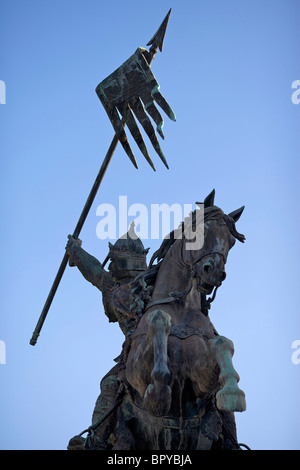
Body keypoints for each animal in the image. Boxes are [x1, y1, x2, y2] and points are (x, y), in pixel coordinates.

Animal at [106, 191, 247, 452]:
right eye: (199, 231)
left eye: (231, 242)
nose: (214, 272)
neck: (181, 308)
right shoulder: (138, 377)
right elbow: (159, 322)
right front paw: (161, 392)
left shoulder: (200, 382)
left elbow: (222, 342)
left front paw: (233, 392)